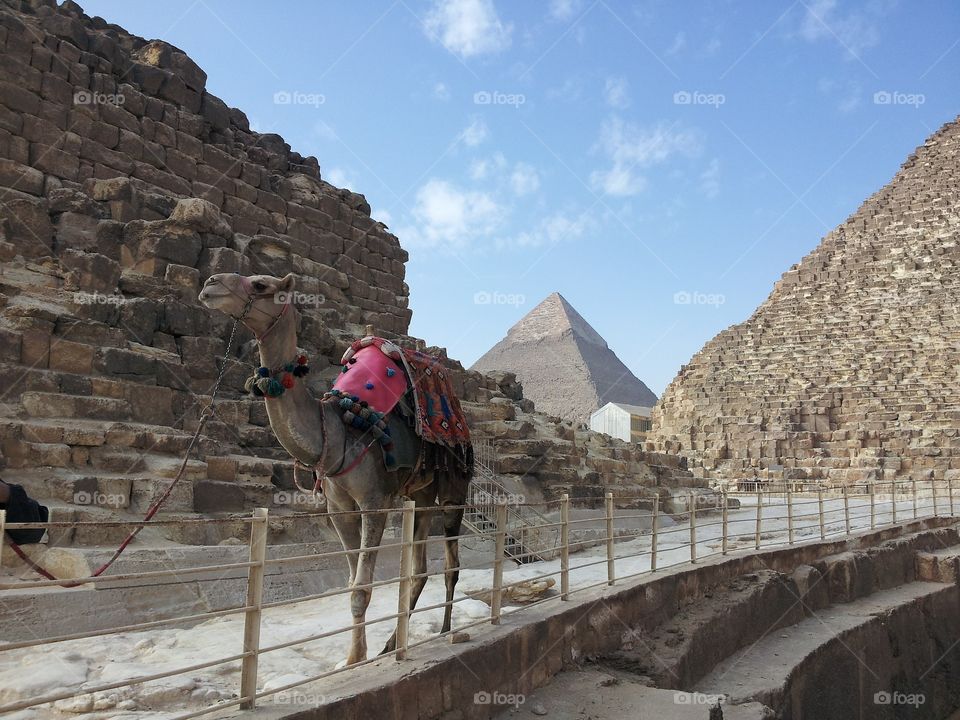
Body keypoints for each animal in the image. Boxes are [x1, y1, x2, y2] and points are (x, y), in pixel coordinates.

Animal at [198, 271, 472, 664]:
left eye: (261, 284)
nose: (211, 284)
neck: (337, 432)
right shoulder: (338, 506)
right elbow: (351, 583)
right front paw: (358, 655)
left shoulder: (374, 500)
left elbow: (362, 586)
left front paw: (353, 658)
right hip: (419, 493)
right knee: (419, 570)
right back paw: (393, 643)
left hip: (455, 484)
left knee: (451, 563)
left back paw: (447, 629)